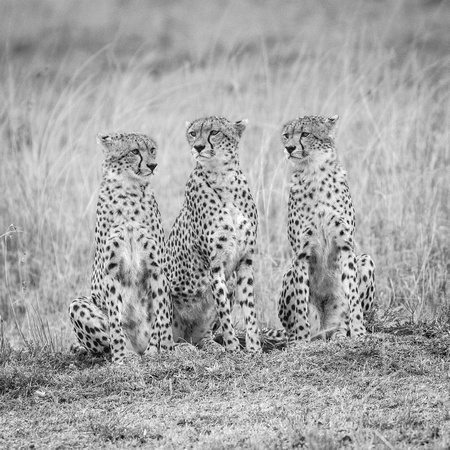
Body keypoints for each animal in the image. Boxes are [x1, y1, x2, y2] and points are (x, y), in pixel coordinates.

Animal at [68, 132, 172, 364]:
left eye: (152, 149)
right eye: (134, 151)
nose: (153, 165)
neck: (129, 191)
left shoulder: (156, 269)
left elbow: (162, 315)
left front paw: (168, 351)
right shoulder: (111, 272)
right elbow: (115, 322)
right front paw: (120, 359)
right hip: (78, 304)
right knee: (102, 345)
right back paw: (127, 354)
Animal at [166, 115, 260, 352]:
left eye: (214, 132)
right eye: (193, 133)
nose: (198, 147)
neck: (223, 179)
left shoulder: (245, 261)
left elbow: (250, 310)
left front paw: (255, 349)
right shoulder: (215, 266)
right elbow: (225, 313)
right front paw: (234, 349)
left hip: (231, 282)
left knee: (200, 336)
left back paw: (209, 345)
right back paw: (182, 348)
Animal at [278, 114, 376, 342]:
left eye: (305, 133)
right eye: (286, 135)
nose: (289, 148)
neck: (314, 172)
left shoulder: (346, 247)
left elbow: (353, 297)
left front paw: (359, 332)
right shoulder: (301, 253)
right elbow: (301, 302)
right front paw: (301, 341)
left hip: (365, 260)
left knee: (341, 325)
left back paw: (341, 334)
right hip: (288, 273)